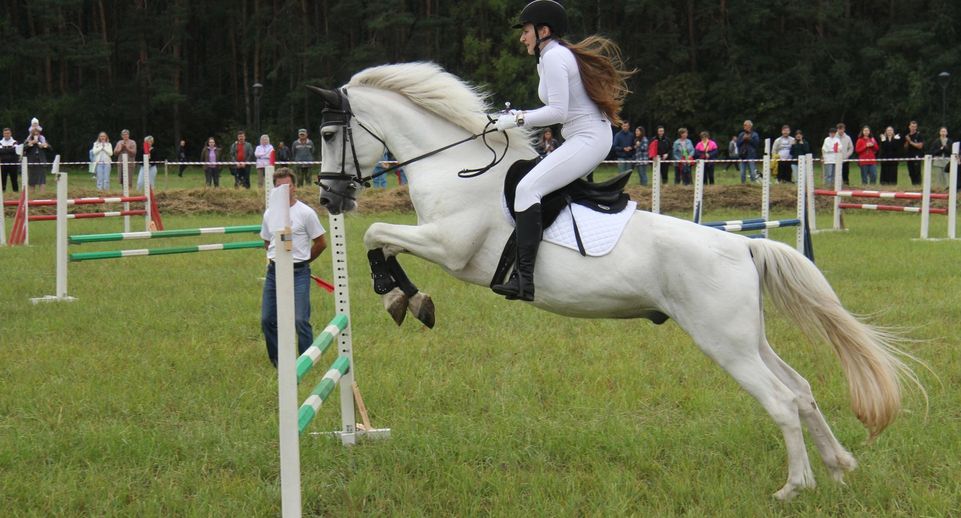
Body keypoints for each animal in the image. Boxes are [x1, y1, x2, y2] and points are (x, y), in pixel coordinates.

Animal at [312, 62, 920, 504]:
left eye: (326, 133)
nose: (329, 198)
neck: (457, 169)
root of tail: (743, 246)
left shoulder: (450, 247)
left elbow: (376, 235)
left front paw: (401, 297)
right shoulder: (436, 243)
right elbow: (382, 241)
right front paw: (408, 299)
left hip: (724, 342)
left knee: (780, 400)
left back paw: (794, 487)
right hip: (749, 338)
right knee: (802, 390)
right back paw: (838, 469)